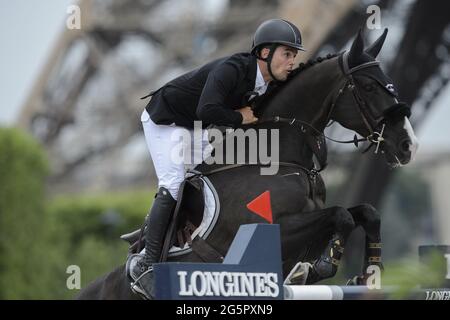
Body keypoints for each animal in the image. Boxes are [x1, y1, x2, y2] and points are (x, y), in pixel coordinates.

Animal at [76, 28, 418, 300]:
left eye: (389, 82)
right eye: (370, 87)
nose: (408, 145)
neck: (277, 158)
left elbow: (365, 212)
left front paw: (370, 271)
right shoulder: (272, 229)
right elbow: (341, 216)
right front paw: (316, 268)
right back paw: (144, 273)